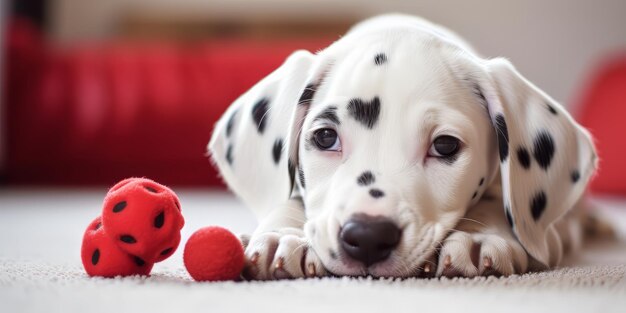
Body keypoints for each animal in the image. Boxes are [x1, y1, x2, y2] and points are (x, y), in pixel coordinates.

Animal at [206, 14, 596, 278]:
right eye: (325, 137)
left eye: (444, 145)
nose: (367, 237)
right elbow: (289, 202)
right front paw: (284, 235)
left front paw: (480, 236)